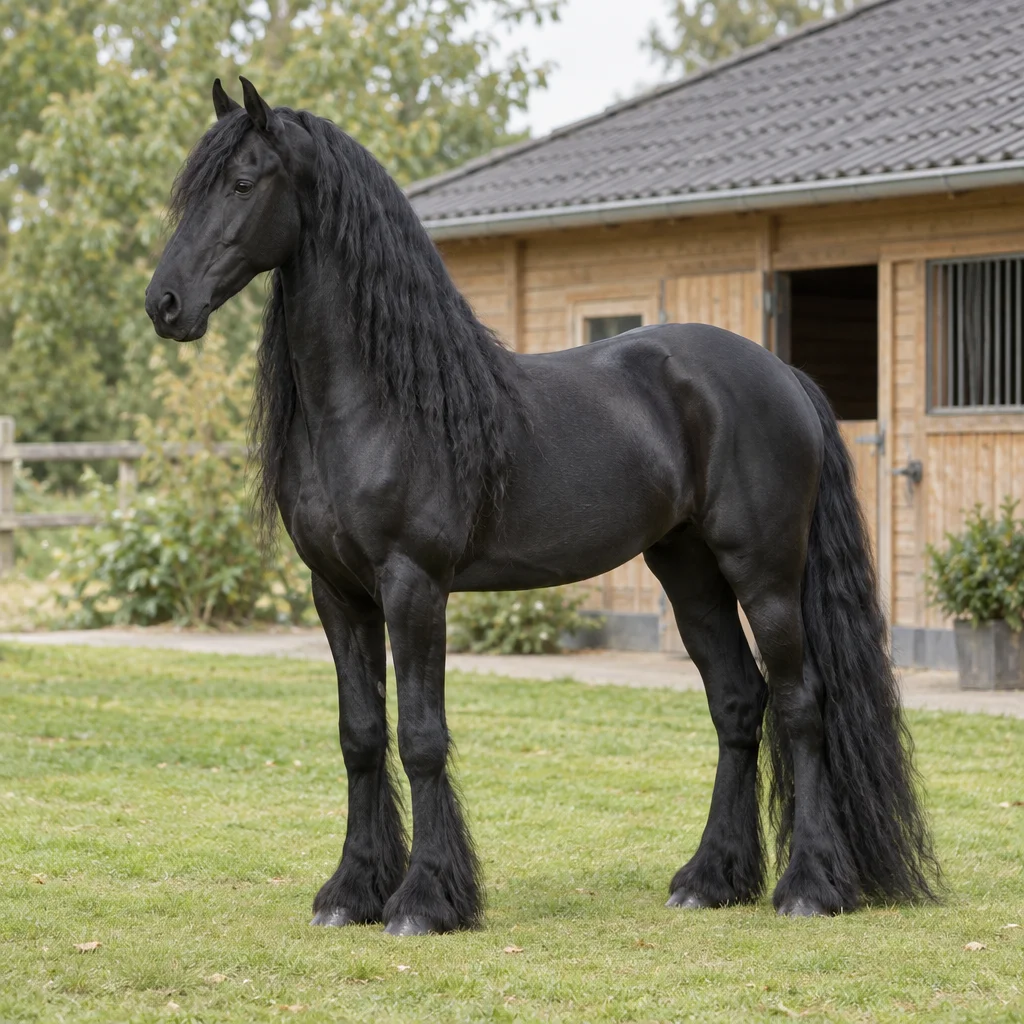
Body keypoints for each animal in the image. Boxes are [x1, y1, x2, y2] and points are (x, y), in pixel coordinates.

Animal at [146, 78, 939, 936]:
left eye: (243, 183)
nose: (165, 303)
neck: (379, 405)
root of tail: (781, 375)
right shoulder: (338, 593)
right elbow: (360, 736)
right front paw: (351, 891)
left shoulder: (413, 586)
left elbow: (420, 737)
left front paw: (424, 900)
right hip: (688, 571)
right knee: (737, 703)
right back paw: (709, 878)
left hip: (763, 573)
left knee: (800, 705)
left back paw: (810, 887)